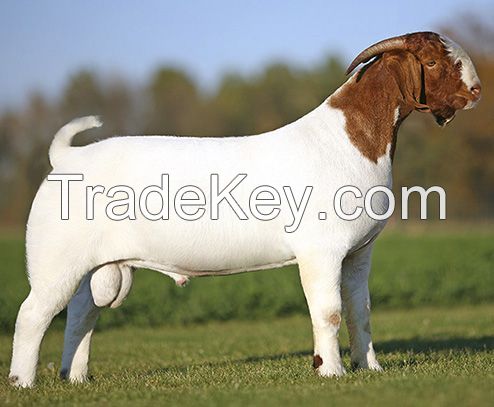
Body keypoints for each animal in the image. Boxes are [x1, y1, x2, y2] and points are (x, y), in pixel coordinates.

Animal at [8, 31, 478, 388]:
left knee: (80, 314)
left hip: (92, 263)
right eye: (432, 61)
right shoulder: (321, 252)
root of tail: (67, 158)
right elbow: (328, 311)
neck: (351, 138)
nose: (475, 91)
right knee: (33, 314)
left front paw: (370, 368)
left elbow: (360, 312)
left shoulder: (359, 253)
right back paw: (23, 383)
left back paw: (75, 377)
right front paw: (331, 372)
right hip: (56, 259)